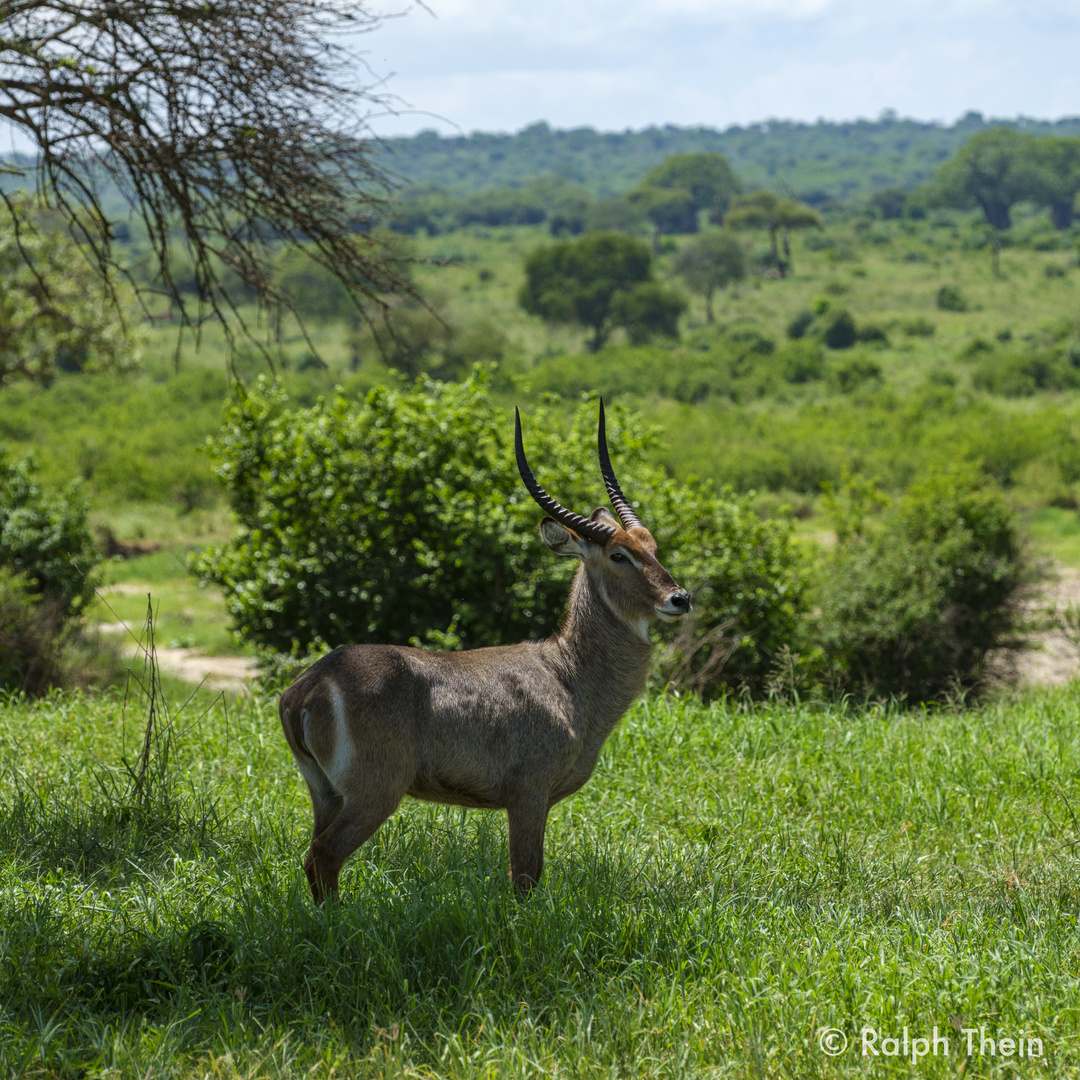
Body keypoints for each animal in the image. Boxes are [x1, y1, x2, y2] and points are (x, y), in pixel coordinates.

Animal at [278, 401, 691, 898]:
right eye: (619, 555)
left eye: (652, 546)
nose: (680, 598)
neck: (568, 676)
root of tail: (310, 685)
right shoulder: (528, 793)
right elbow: (525, 878)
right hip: (374, 792)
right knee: (324, 855)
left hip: (324, 792)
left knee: (313, 855)